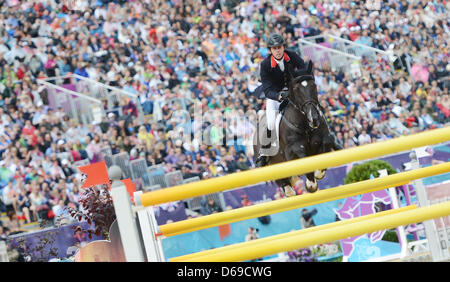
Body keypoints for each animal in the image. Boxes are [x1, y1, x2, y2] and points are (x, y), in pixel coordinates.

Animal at [253, 60, 342, 195]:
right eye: (296, 89)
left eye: (314, 86)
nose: (313, 118)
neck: (306, 126)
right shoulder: (293, 151)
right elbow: (303, 160)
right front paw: (311, 185)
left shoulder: (324, 139)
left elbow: (326, 144)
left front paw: (318, 173)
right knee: (287, 187)